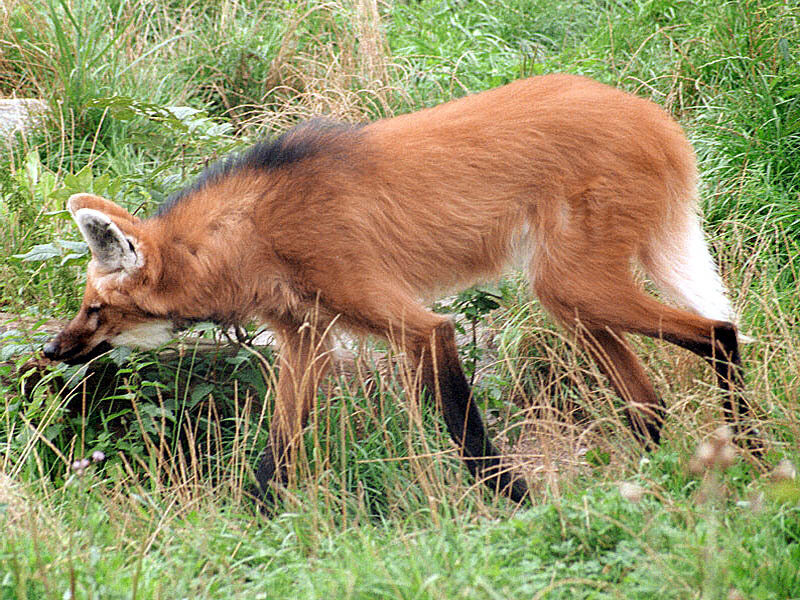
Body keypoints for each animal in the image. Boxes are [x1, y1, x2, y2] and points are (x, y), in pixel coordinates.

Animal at [43, 73, 751, 505]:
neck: (252, 234)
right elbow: (279, 450)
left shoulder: (417, 327)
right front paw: (255, 528)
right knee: (648, 402)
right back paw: (660, 476)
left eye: (96, 309)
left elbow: (465, 434)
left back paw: (748, 450)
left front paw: (519, 506)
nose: (52, 349)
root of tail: (656, 119)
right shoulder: (308, 341)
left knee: (718, 332)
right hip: (567, 294)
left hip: (576, 284)